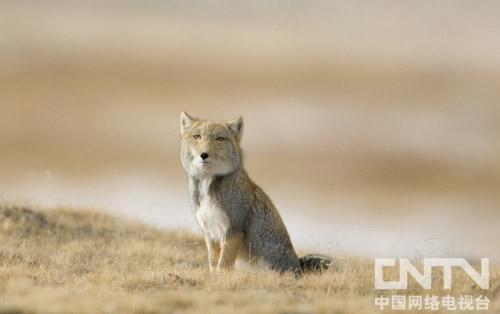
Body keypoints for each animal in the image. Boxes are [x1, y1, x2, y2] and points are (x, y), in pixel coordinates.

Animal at [180, 111, 332, 274]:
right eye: (197, 136)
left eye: (219, 138)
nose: (204, 154)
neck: (208, 185)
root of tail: (298, 267)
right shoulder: (209, 233)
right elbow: (213, 263)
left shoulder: (233, 229)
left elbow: (223, 264)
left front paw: (220, 275)